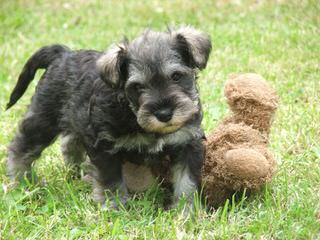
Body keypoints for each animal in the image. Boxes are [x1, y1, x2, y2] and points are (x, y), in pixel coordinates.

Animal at [6, 25, 211, 207]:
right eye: (137, 86)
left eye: (176, 76)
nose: (164, 114)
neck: (131, 112)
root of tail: (63, 54)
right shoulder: (104, 147)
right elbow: (111, 182)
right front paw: (114, 208)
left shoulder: (186, 143)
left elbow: (187, 183)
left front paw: (187, 211)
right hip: (43, 120)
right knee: (21, 147)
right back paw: (20, 181)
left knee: (68, 141)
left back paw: (75, 171)